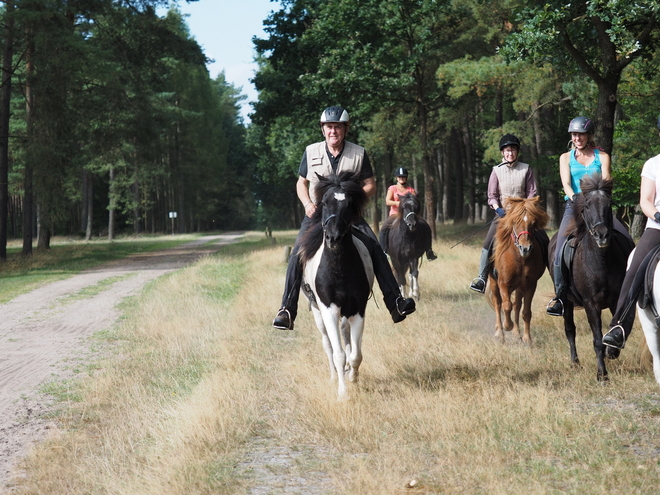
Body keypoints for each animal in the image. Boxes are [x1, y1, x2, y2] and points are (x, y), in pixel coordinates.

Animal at [296, 172, 374, 402]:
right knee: (327, 344)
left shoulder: (358, 310)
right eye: (324, 202)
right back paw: (332, 376)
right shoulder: (329, 309)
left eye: (349, 204)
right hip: (317, 312)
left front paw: (353, 378)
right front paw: (342, 393)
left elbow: (356, 354)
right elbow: (338, 353)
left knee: (346, 335)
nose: (333, 238)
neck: (340, 268)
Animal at [488, 197, 548, 344]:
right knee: (498, 304)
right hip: (494, 282)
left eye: (533, 222)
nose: (525, 248)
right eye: (515, 221)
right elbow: (506, 305)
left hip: (520, 286)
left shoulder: (530, 285)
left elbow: (526, 312)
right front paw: (506, 326)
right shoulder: (503, 283)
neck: (519, 258)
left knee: (517, 305)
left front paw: (527, 338)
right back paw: (499, 332)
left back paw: (516, 333)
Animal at [548, 175, 636, 384]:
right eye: (587, 205)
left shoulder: (616, 300)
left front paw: (612, 351)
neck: (601, 261)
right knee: (570, 330)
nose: (602, 234)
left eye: (609, 204)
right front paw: (602, 375)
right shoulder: (590, 304)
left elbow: (616, 327)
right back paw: (575, 363)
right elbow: (596, 339)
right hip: (566, 301)